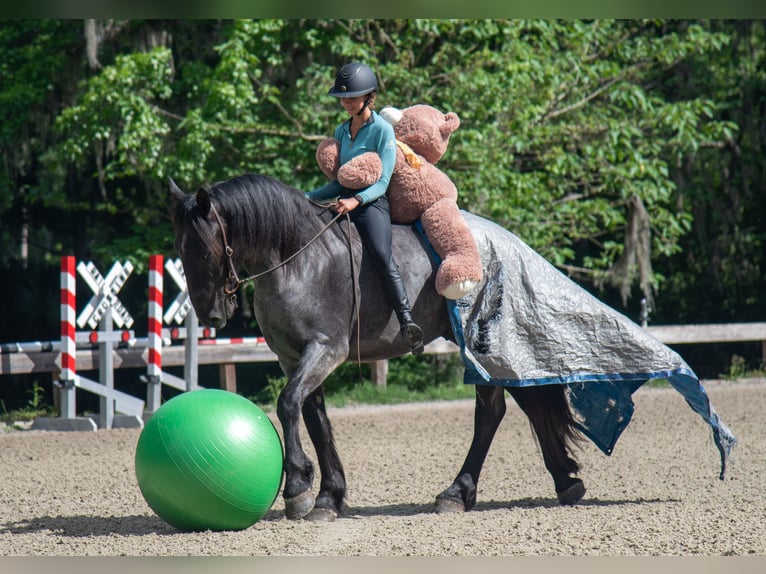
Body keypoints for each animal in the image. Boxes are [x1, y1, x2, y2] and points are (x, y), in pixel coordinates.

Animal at [169, 173, 586, 522]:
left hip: (477, 341)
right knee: (521, 403)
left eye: (204, 251)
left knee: (491, 411)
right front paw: (328, 497)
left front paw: (298, 487)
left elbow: (287, 404)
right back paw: (564, 481)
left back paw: (457, 492)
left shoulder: (325, 350)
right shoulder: (292, 357)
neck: (299, 260)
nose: (210, 315)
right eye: (180, 250)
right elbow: (315, 417)